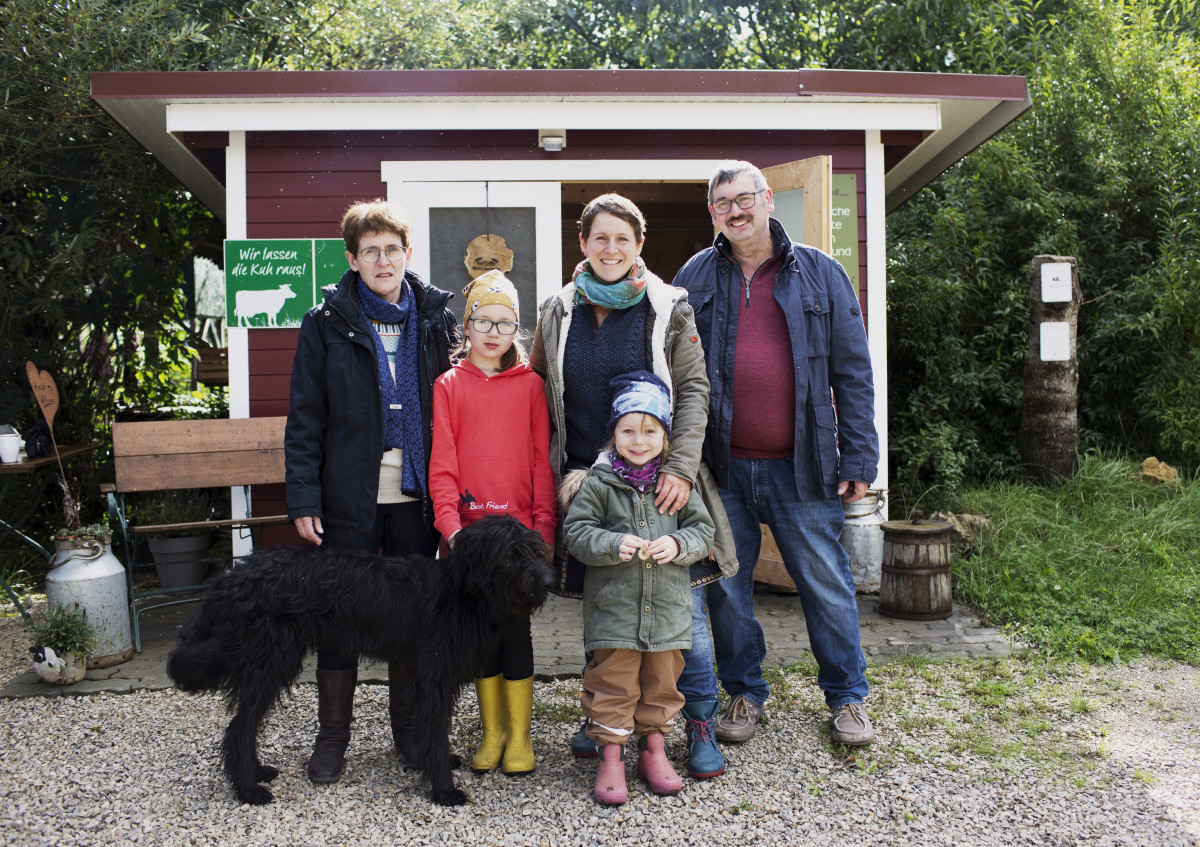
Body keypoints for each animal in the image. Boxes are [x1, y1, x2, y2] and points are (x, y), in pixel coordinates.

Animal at [165, 513, 552, 806]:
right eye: (511, 552)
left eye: (535, 547)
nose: (548, 581)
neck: (461, 590)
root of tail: (232, 578)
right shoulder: (435, 677)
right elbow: (435, 731)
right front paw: (443, 790)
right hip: (269, 664)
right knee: (239, 728)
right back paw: (248, 789)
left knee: (244, 725)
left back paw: (256, 773)